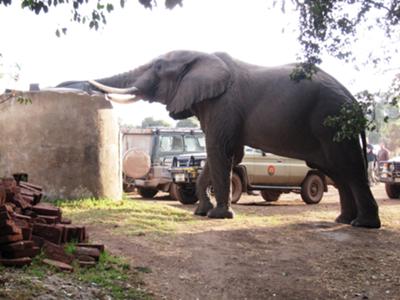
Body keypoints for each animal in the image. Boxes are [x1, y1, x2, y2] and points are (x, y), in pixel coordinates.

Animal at [59, 50, 382, 229]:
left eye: (159, 67)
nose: (72, 84)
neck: (202, 58)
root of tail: (354, 101)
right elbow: (227, 155)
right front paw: (202, 211)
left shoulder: (223, 105)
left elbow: (219, 152)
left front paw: (218, 216)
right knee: (337, 171)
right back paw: (344, 221)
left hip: (331, 119)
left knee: (347, 168)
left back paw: (364, 225)